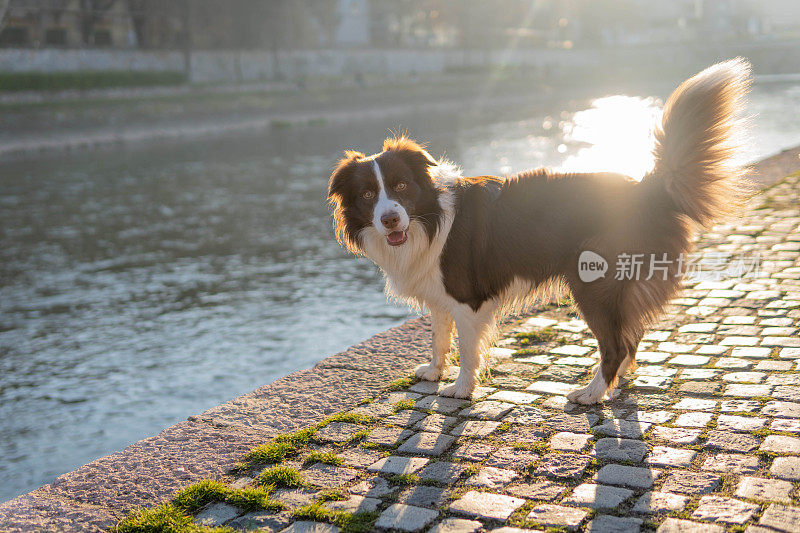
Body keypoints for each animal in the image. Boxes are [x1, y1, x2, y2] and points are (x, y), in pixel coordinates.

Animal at [324, 59, 752, 404]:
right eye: (367, 194)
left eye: (400, 187)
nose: (390, 220)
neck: (428, 220)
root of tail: (646, 188)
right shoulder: (439, 294)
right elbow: (438, 337)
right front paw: (433, 372)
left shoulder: (467, 298)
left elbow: (468, 349)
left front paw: (461, 389)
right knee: (631, 337)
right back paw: (618, 383)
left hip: (593, 283)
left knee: (615, 344)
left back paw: (592, 393)